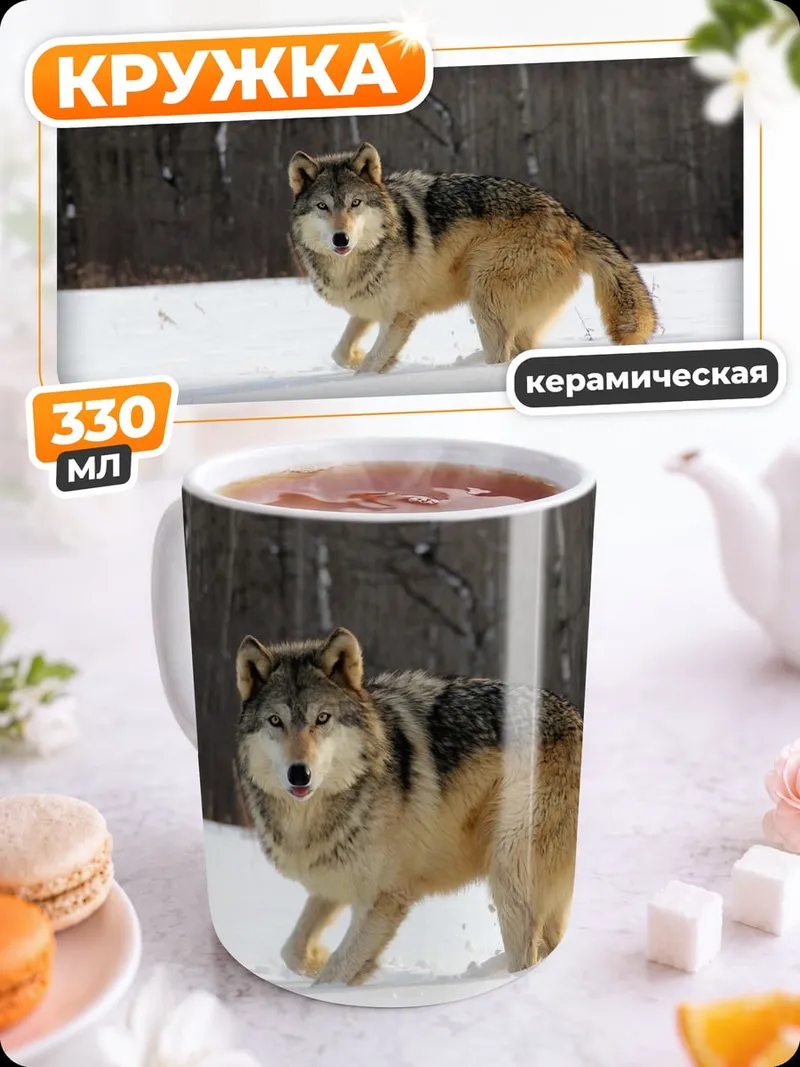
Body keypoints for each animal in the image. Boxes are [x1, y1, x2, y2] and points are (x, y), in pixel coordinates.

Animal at [234, 626, 583, 986]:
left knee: (526, 956)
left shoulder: (383, 898)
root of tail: (578, 719)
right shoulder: (336, 879)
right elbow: (292, 949)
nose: (299, 773)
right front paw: (316, 960)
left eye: (323, 718)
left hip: (510, 870)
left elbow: (337, 970)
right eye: (276, 721)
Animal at [287, 142, 657, 374]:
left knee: (501, 356)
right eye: (322, 206)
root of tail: (573, 224)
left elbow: (371, 365)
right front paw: (356, 358)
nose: (341, 239)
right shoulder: (366, 308)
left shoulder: (400, 316)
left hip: (485, 298)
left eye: (355, 203)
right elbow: (340, 352)